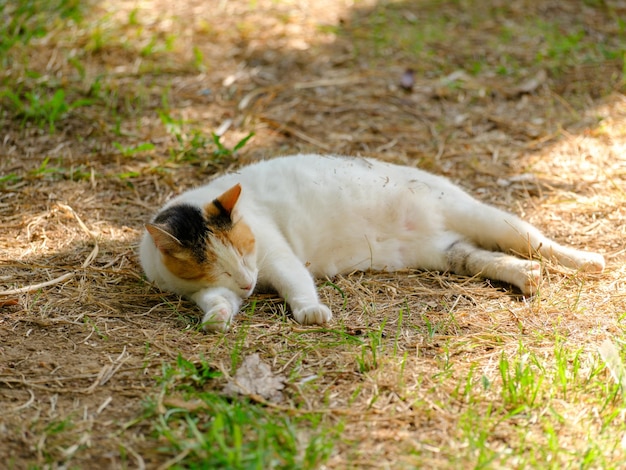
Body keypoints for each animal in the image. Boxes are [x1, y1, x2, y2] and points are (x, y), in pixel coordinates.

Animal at [139, 154, 604, 330]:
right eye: (217, 266)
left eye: (244, 250)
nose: (250, 283)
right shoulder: (210, 290)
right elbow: (217, 302)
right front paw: (216, 319)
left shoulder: (279, 257)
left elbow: (297, 286)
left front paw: (311, 313)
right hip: (448, 253)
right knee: (488, 259)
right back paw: (528, 277)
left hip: (486, 218)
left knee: (536, 240)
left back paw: (587, 261)